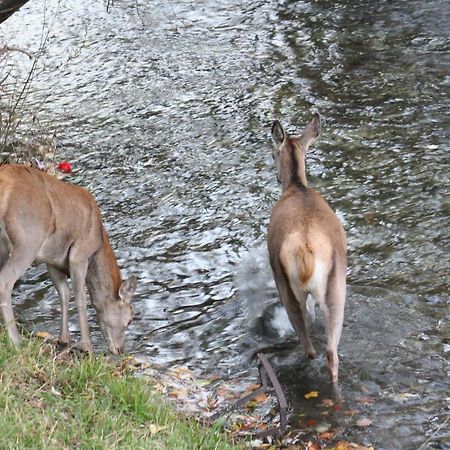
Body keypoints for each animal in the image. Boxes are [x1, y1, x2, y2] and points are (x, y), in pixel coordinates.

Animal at [0, 163, 137, 354]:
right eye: (130, 319)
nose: (120, 350)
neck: (98, 243)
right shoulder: (79, 255)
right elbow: (81, 298)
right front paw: (87, 347)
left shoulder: (53, 260)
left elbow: (64, 294)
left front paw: (63, 339)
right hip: (28, 239)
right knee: (5, 281)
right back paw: (15, 341)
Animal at [268, 113, 348, 384]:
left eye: (272, 153)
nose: (277, 177)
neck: (297, 187)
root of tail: (305, 250)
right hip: (333, 288)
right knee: (327, 352)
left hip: (293, 289)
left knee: (314, 350)